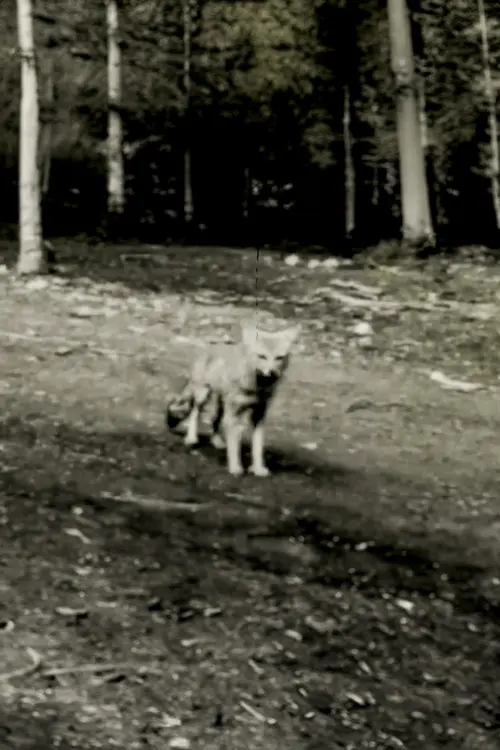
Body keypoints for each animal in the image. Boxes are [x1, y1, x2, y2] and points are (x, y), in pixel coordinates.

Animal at [165, 321, 300, 477]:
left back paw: (216, 441)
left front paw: (258, 468)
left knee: (214, 420)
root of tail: (212, 346)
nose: (272, 373)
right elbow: (234, 446)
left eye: (279, 358)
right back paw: (192, 438)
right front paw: (235, 467)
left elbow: (258, 447)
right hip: (204, 396)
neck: (256, 388)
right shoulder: (235, 414)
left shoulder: (259, 414)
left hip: (222, 405)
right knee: (195, 412)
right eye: (262, 356)